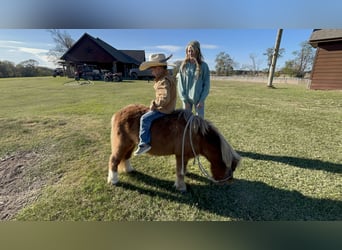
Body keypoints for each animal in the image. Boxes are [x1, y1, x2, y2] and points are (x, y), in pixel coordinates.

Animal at [107, 103, 240, 191]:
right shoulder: (181, 155)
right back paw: (113, 180)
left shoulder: (184, 156)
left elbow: (182, 170)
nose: (229, 182)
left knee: (126, 157)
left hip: (130, 144)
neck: (196, 134)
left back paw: (129, 170)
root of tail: (118, 113)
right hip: (121, 144)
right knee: (114, 160)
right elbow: (180, 172)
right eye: (232, 168)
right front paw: (181, 187)